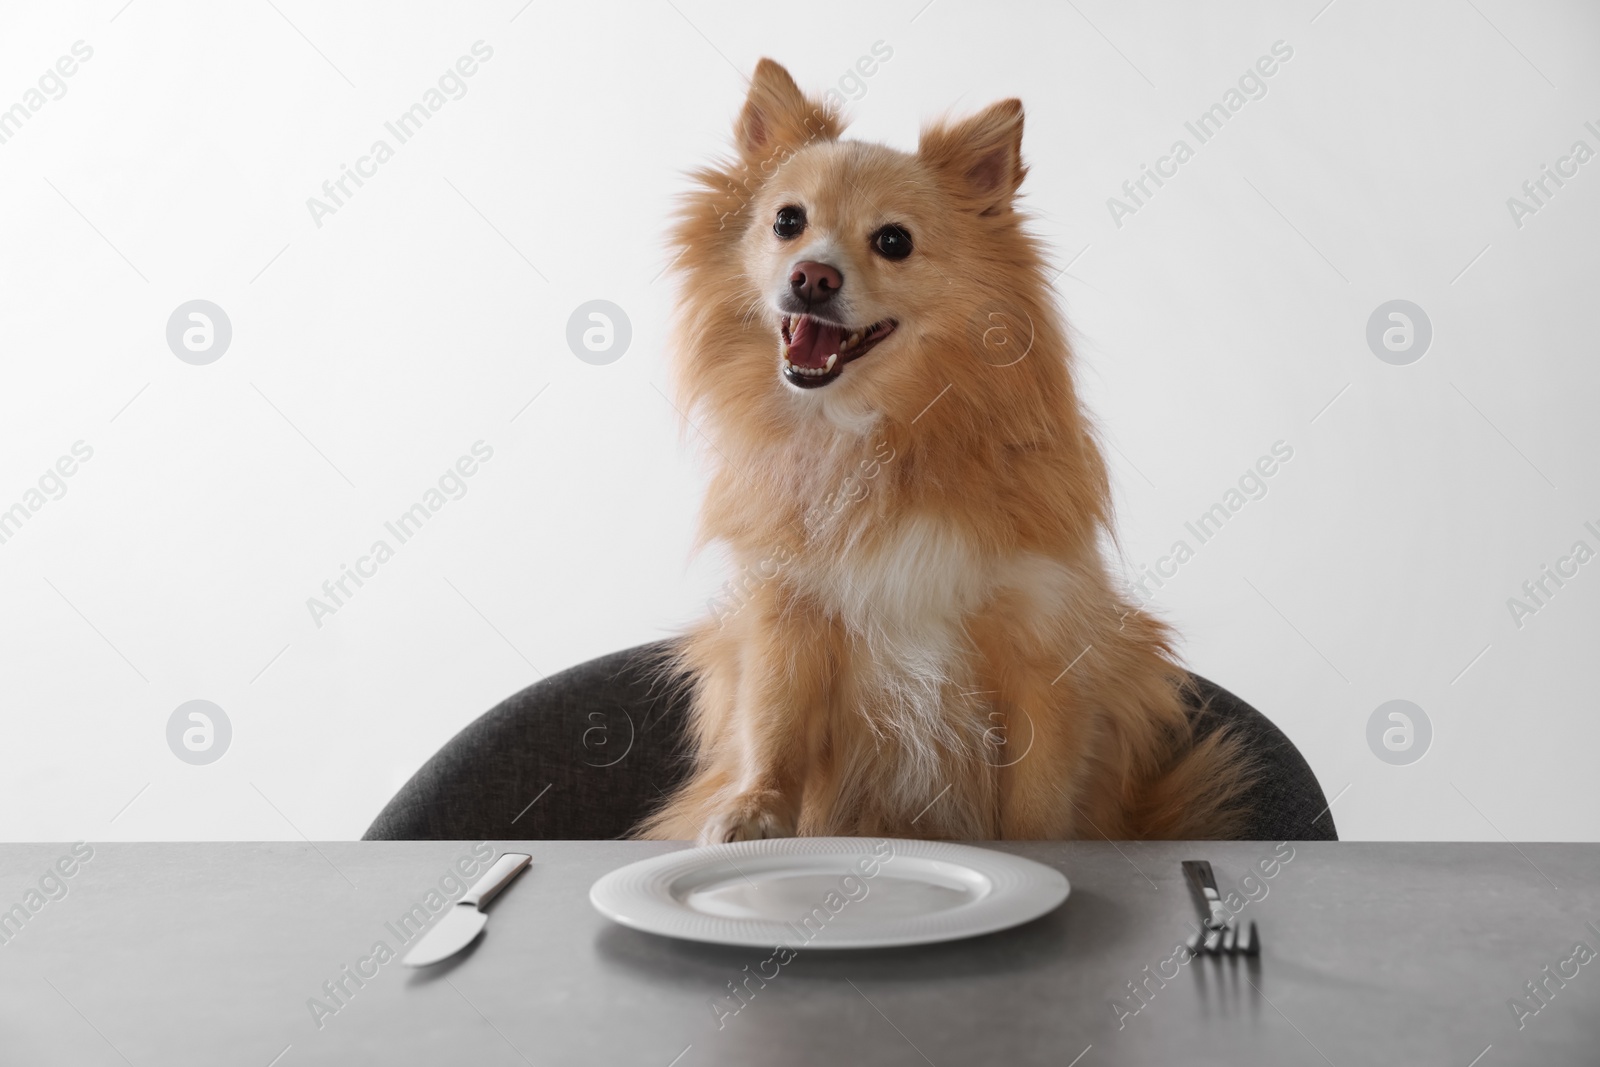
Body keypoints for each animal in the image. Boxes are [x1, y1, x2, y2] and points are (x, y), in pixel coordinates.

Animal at [636, 58, 1248, 844]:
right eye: (787, 222)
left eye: (894, 242)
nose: (812, 276)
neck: (881, 435)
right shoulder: (789, 616)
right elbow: (774, 727)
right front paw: (755, 809)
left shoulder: (1042, 651)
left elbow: (1038, 796)